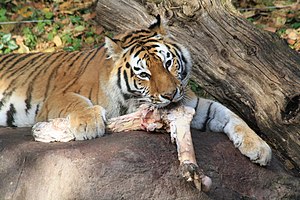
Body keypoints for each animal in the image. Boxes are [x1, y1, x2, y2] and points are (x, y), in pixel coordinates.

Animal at [0, 15, 272, 166]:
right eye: (144, 74)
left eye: (168, 63)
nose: (170, 95)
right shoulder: (56, 97)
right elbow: (77, 102)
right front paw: (89, 124)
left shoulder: (193, 103)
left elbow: (229, 114)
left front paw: (259, 147)